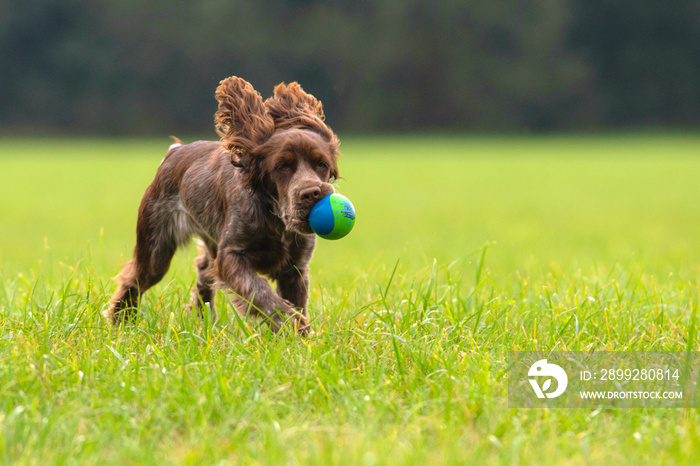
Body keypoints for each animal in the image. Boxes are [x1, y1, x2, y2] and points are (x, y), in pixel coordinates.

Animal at [106, 76, 342, 334]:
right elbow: (261, 291)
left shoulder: (296, 268)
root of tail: (174, 152)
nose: (311, 193)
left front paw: (297, 335)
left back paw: (202, 318)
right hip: (156, 247)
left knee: (203, 269)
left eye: (321, 164)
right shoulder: (231, 256)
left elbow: (296, 300)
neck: (275, 220)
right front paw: (290, 322)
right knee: (135, 279)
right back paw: (121, 319)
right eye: (282, 167)